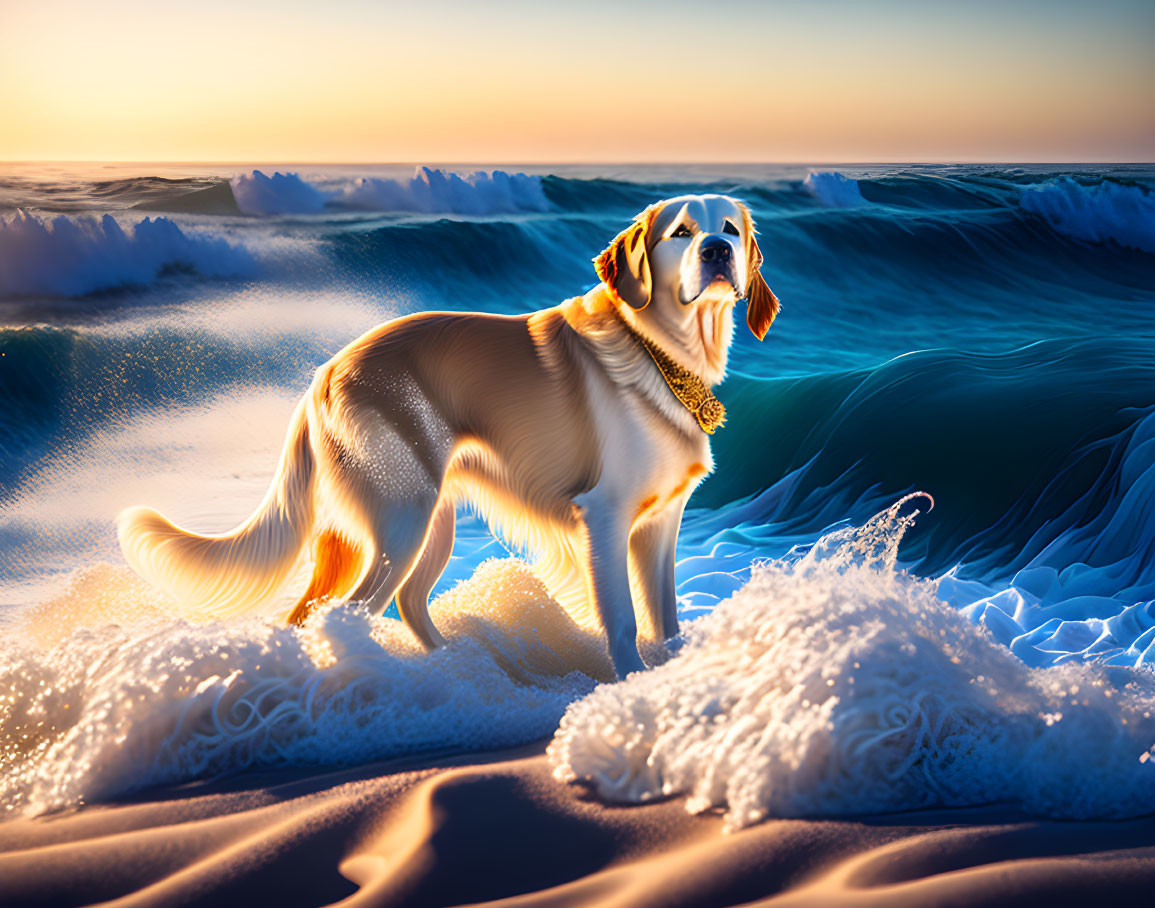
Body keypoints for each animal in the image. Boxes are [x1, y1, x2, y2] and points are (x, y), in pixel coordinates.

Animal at [117, 194, 780, 674]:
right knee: (349, 613)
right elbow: (621, 620)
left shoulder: (661, 526)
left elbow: (665, 620)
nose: (717, 251)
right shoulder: (607, 518)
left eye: (729, 228)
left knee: (370, 607)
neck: (659, 353)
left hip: (428, 518)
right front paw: (629, 684)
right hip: (403, 515)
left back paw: (454, 674)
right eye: (681, 233)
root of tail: (324, 374)